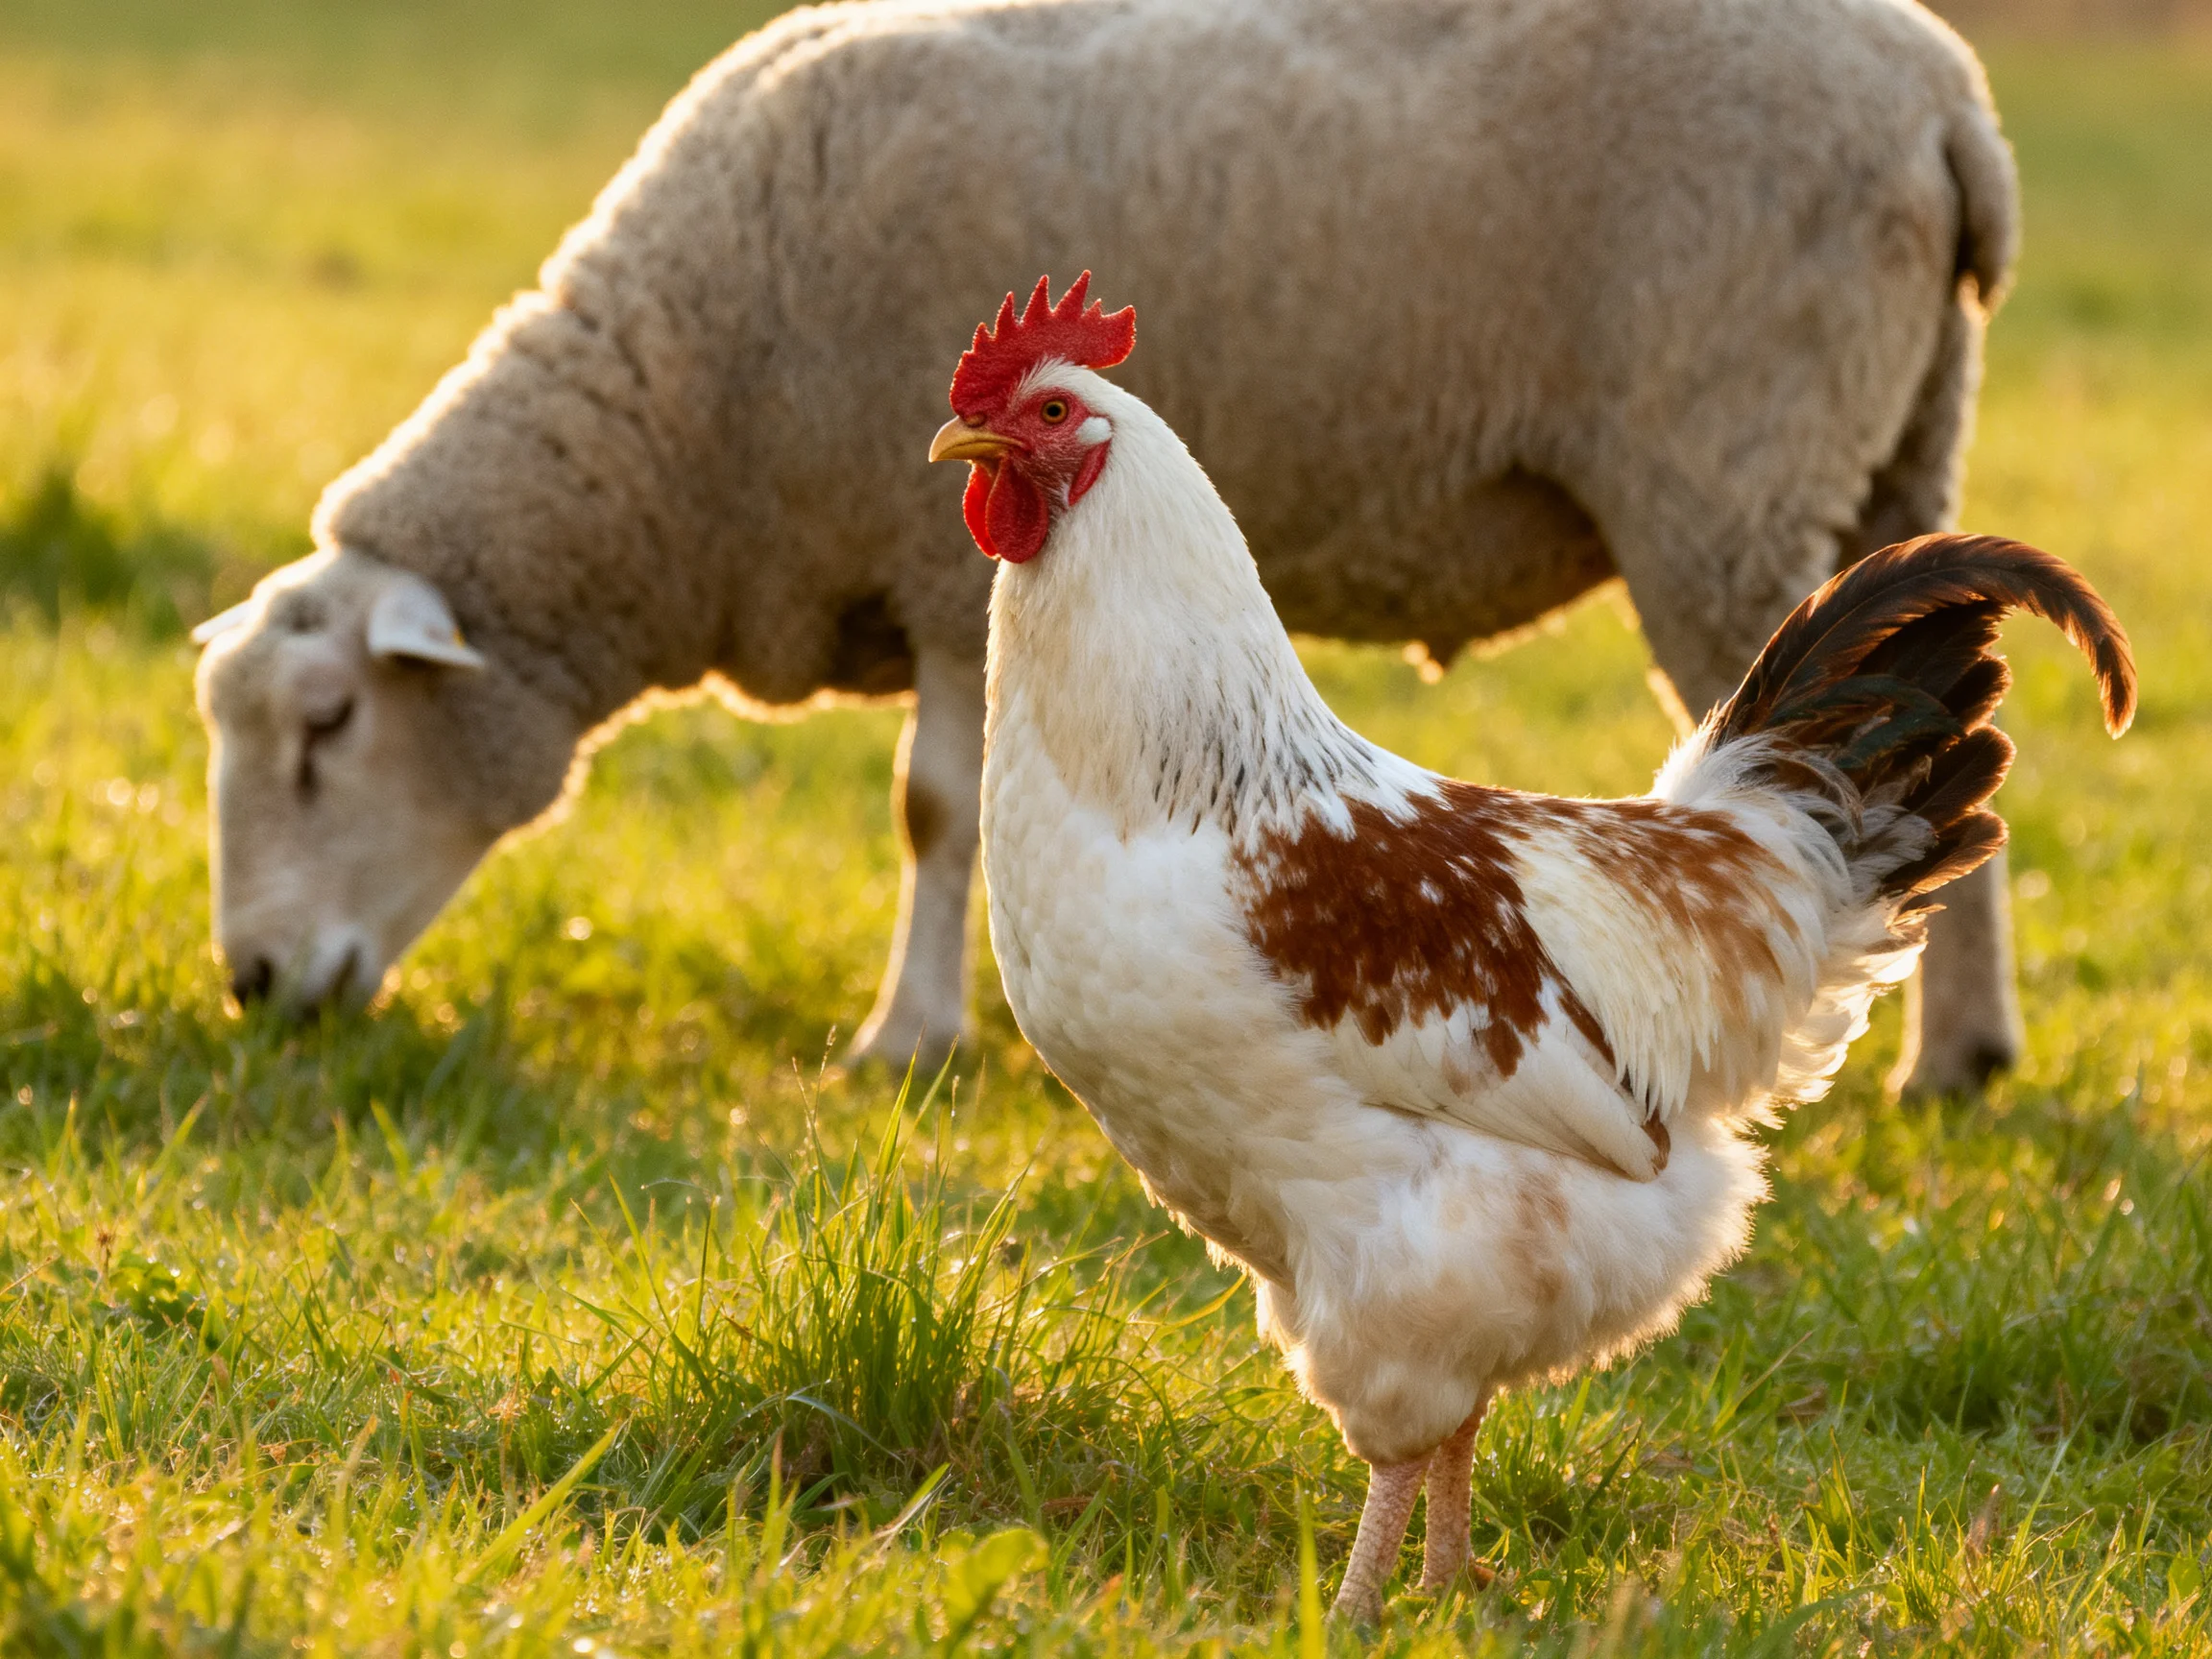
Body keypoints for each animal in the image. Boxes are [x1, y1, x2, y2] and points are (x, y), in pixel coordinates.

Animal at [194, 0, 2023, 1091]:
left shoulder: (941, 569)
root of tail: (1949, 99)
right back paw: (1961, 1055)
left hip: (1726, 466)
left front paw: (906, 1039)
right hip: (1900, 452)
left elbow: (932, 810)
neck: (689, 416)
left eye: (329, 726)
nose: (257, 983)